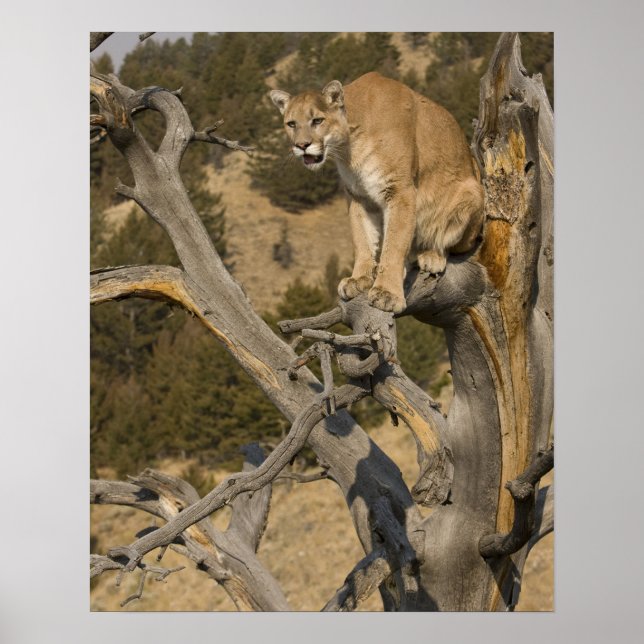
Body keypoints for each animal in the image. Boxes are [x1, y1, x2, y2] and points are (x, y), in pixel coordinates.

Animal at [270, 72, 484, 314]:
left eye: (317, 120)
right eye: (291, 124)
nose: (302, 145)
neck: (349, 146)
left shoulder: (400, 191)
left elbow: (394, 243)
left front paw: (387, 293)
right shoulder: (358, 195)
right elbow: (361, 239)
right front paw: (359, 278)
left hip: (472, 193)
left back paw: (432, 255)